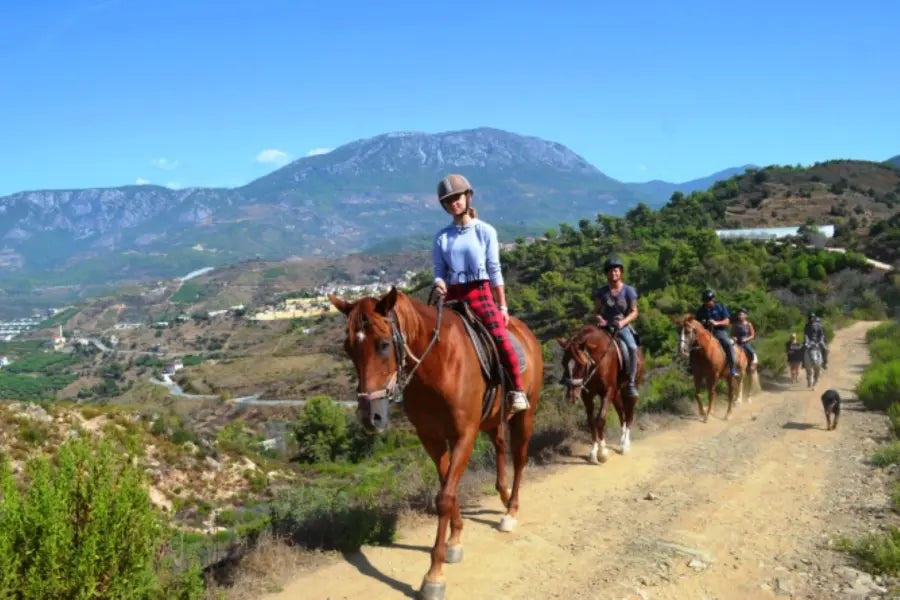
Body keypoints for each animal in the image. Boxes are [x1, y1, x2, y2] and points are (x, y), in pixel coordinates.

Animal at [328, 287, 543, 600]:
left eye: (383, 344)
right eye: (347, 348)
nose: (371, 417)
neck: (437, 365)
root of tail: (525, 332)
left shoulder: (464, 435)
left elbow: (444, 497)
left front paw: (434, 574)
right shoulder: (431, 437)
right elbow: (445, 488)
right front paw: (455, 539)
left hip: (524, 414)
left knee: (520, 455)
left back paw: (510, 511)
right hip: (492, 419)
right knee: (501, 446)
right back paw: (503, 495)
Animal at [556, 325, 643, 464]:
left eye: (581, 364)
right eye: (564, 363)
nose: (571, 396)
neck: (598, 359)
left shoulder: (607, 392)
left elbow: (600, 420)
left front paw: (602, 453)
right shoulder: (587, 396)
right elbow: (591, 422)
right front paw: (593, 453)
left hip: (631, 388)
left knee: (629, 415)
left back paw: (625, 445)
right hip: (616, 393)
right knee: (622, 414)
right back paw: (621, 441)